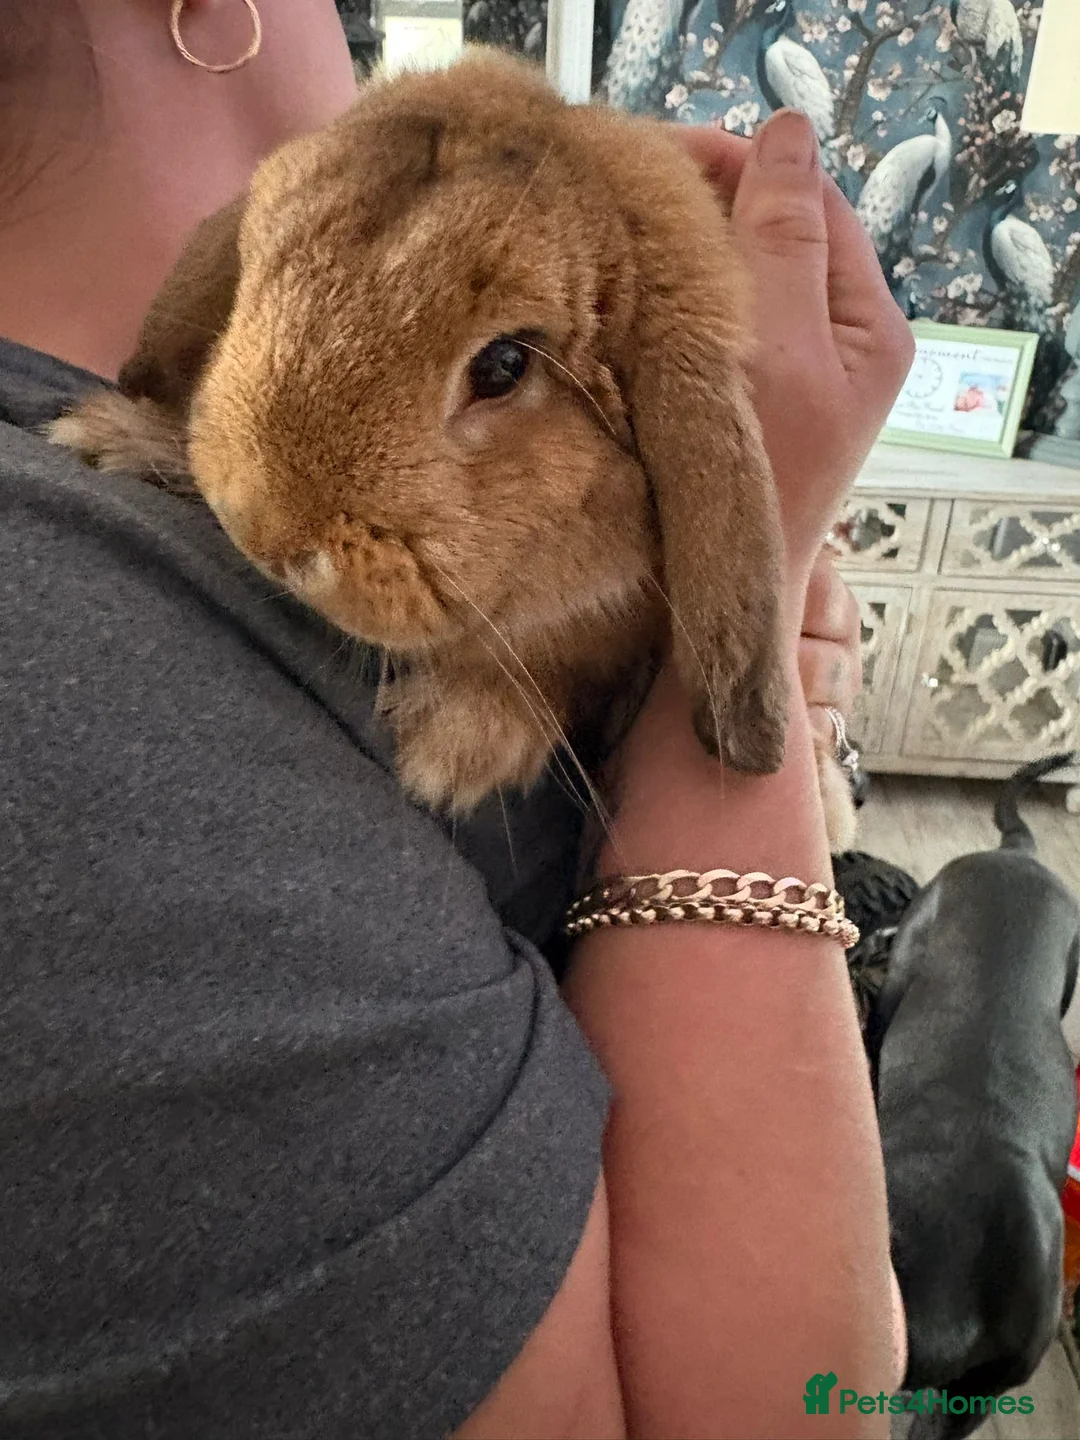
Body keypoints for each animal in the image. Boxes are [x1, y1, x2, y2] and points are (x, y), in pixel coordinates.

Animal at [50, 49, 857, 850]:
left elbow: (554, 666)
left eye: (503, 365)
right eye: (257, 266)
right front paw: (116, 438)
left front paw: (453, 747)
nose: (265, 530)